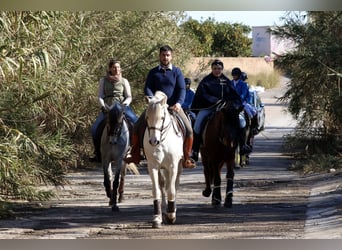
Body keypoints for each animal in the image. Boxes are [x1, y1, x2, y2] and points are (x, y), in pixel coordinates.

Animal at [142, 91, 183, 229]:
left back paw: (172, 210)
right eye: (147, 118)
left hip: (177, 167)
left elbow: (171, 190)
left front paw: (171, 216)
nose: (154, 141)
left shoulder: (173, 166)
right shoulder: (153, 167)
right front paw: (157, 218)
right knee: (163, 185)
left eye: (161, 118)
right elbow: (157, 190)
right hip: (162, 168)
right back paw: (164, 211)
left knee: (174, 184)